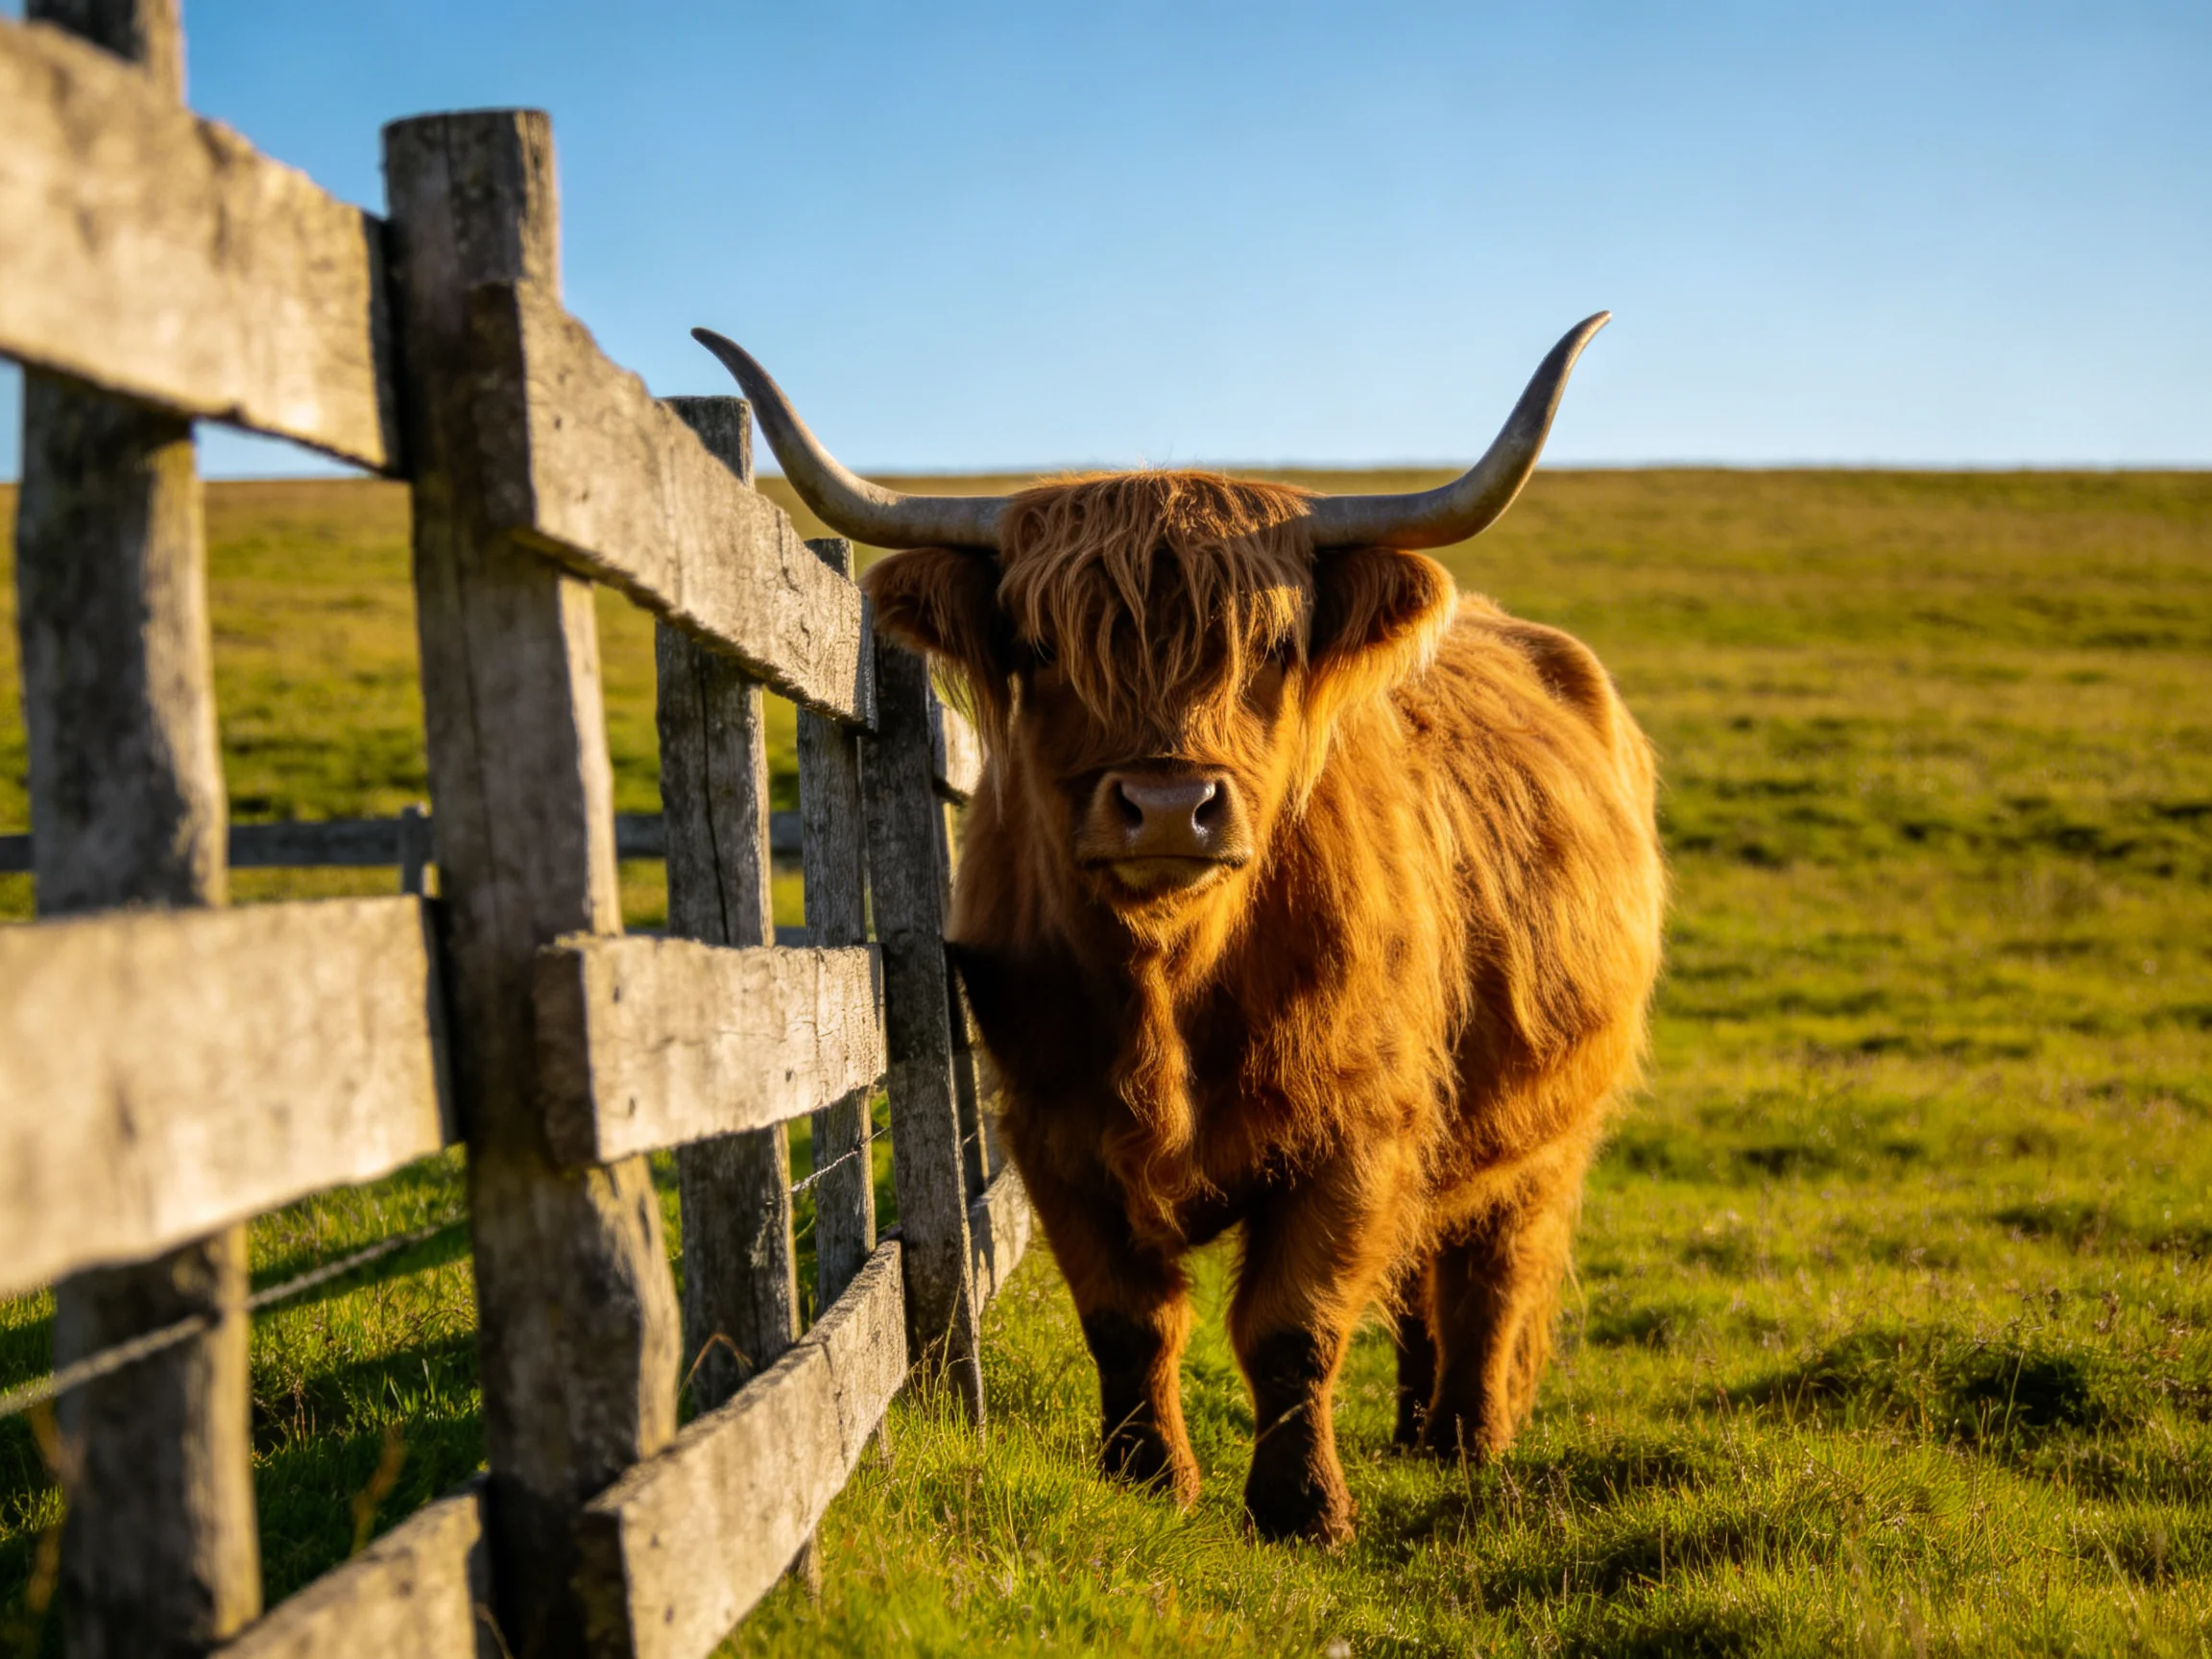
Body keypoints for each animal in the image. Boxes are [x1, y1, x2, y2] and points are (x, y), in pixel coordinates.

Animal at [695, 317, 1665, 1544]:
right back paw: (1413, 1429)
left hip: (1548, 1121)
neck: (1170, 973)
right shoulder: (1053, 1125)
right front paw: (1149, 1476)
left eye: (1272, 646)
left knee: (1490, 1264)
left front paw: (1303, 1509)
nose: (1166, 806)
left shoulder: (1360, 1125)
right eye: (1044, 647)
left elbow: (1292, 1325)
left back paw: (1464, 1440)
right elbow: (1129, 1317)